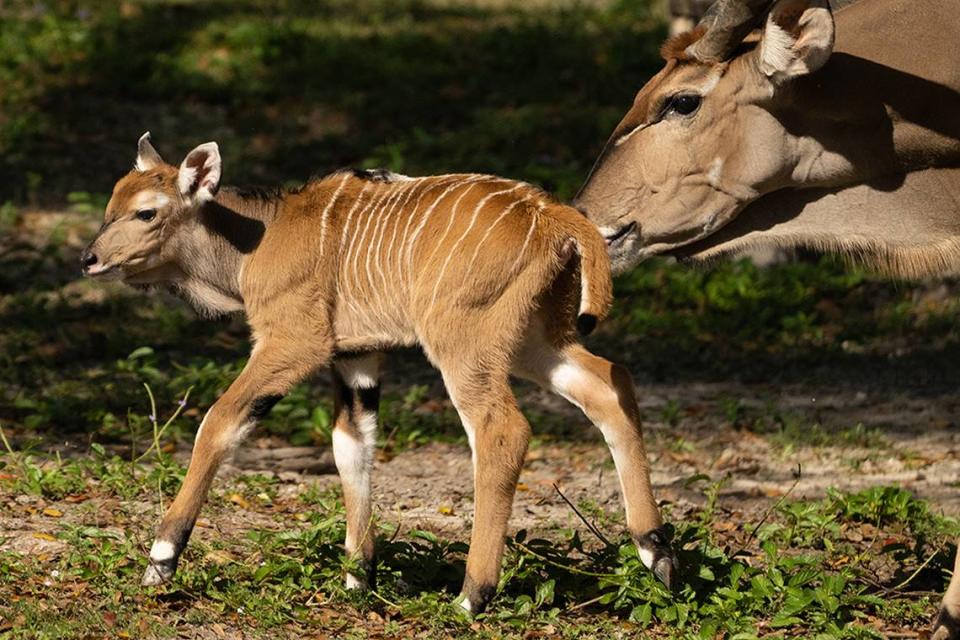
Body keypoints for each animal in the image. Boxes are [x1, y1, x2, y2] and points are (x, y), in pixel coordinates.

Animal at [86, 132, 680, 612]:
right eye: (112, 204)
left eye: (146, 212)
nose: (89, 259)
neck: (261, 236)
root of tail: (553, 215)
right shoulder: (358, 357)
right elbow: (352, 445)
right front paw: (358, 578)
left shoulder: (292, 344)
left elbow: (220, 421)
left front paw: (161, 560)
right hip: (536, 340)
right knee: (610, 384)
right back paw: (657, 552)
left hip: (463, 344)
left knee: (501, 430)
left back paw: (472, 594)